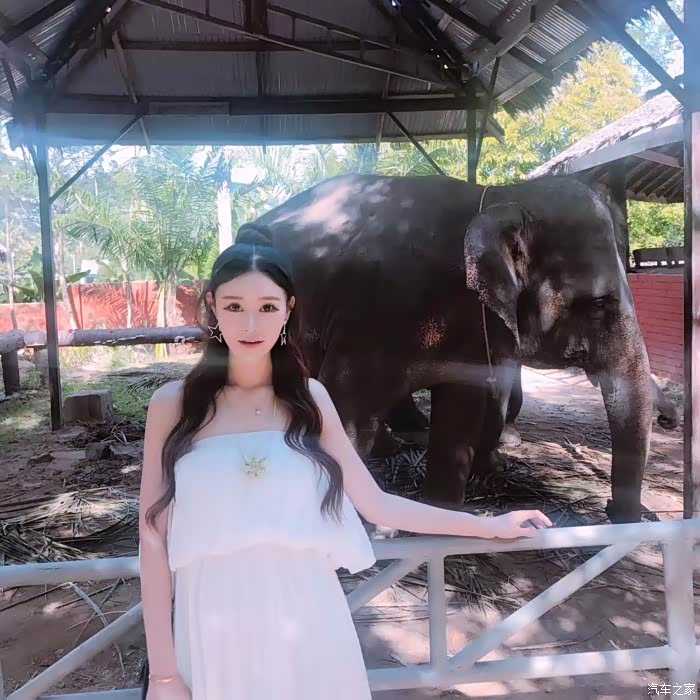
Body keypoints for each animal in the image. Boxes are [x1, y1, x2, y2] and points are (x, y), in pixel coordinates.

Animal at [254, 174, 654, 523]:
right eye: (600, 304)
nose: (612, 511)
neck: (499, 198)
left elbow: (461, 411)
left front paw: (441, 520)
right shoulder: (374, 313)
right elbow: (345, 407)